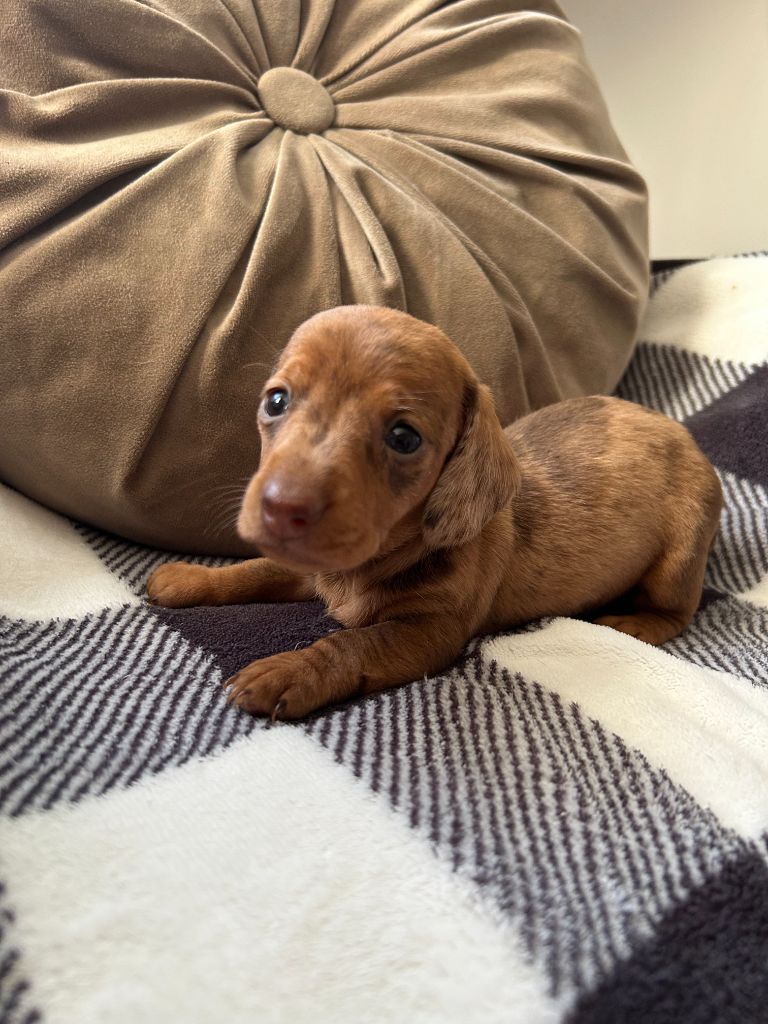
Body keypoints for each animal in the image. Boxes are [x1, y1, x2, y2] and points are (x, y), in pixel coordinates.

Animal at [147, 305, 723, 720]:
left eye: (404, 438)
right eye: (276, 402)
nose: (281, 507)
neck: (369, 564)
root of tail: (679, 432)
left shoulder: (430, 632)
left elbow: (351, 643)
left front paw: (290, 670)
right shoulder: (309, 567)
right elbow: (257, 569)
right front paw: (191, 578)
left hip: (679, 556)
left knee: (677, 610)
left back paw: (634, 622)